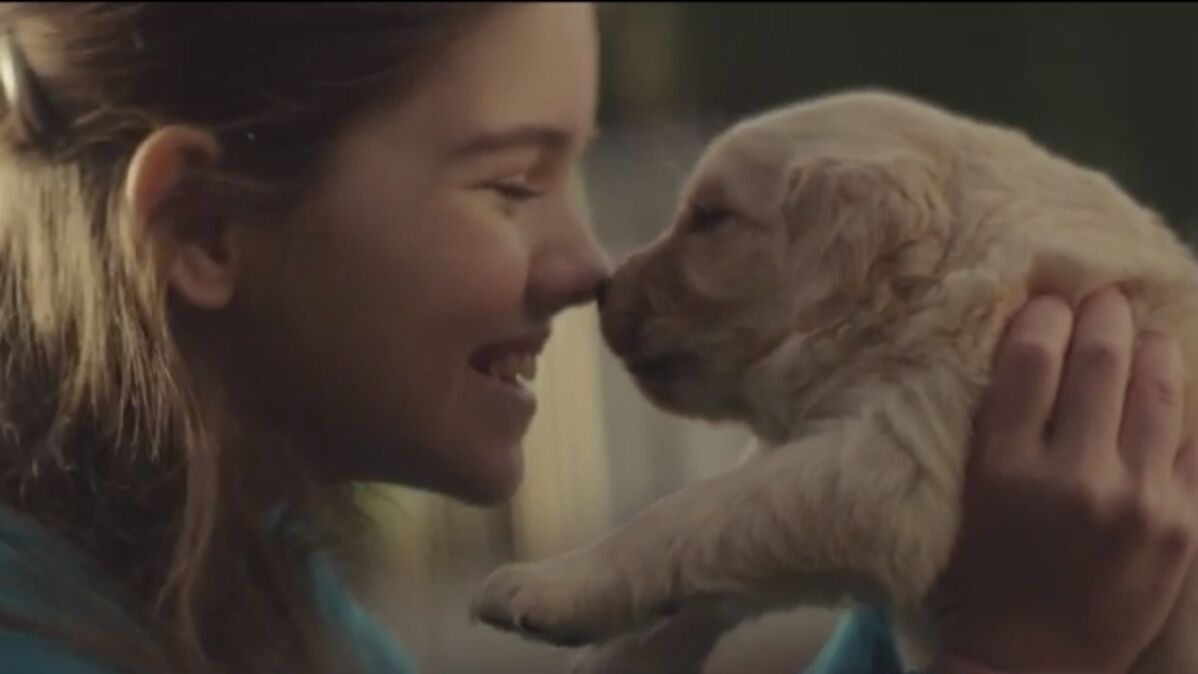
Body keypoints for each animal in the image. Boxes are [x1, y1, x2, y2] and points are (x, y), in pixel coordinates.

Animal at [472, 90, 1198, 674]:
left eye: (711, 218)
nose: (602, 288)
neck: (938, 265)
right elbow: (719, 539)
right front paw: (623, 656)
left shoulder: (893, 467)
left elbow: (687, 514)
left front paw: (547, 586)